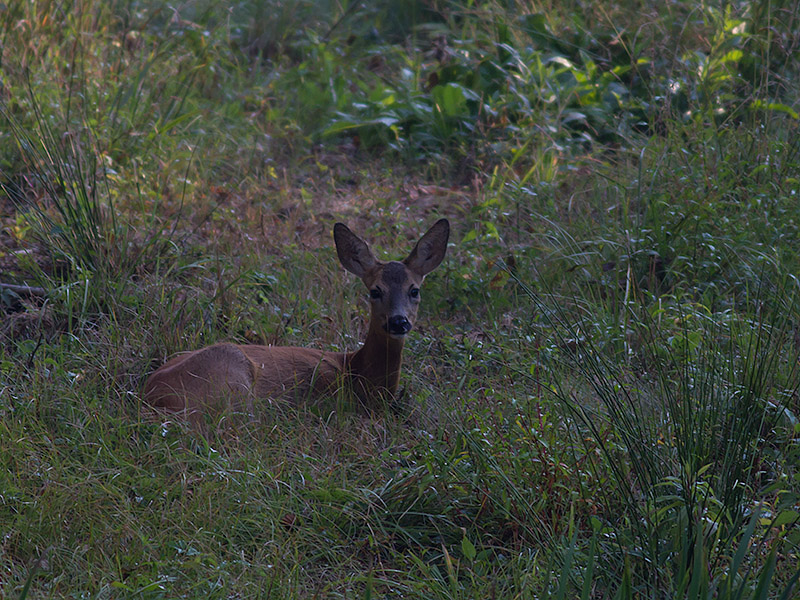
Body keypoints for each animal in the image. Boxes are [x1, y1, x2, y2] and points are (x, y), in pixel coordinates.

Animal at [141, 217, 446, 422]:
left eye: (414, 290)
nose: (398, 322)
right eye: (375, 291)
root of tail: (151, 395)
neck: (359, 373)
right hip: (232, 382)